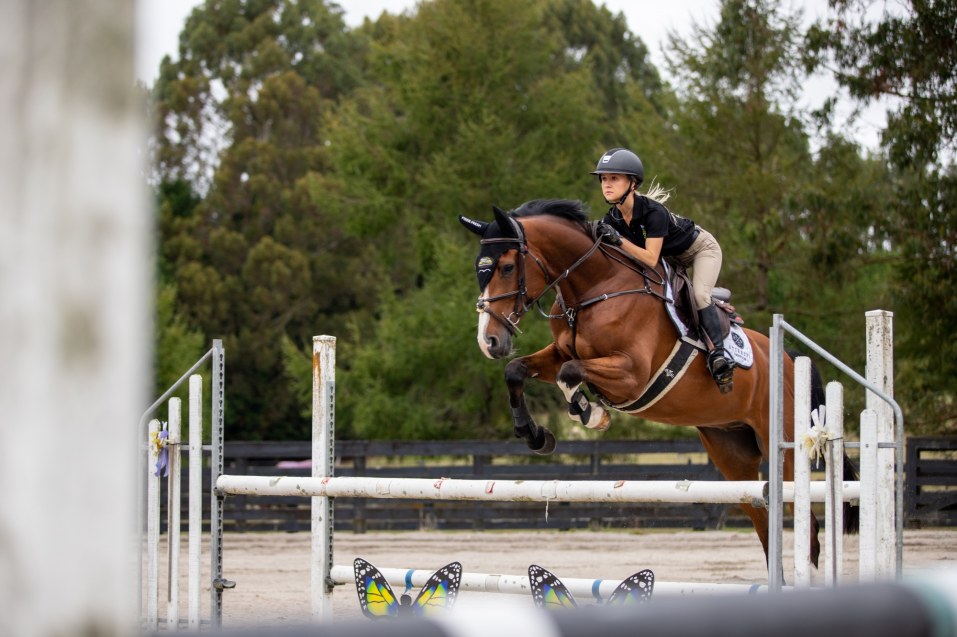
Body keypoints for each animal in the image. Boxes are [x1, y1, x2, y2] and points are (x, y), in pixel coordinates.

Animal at [458, 199, 860, 568]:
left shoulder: (632, 374)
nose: (488, 341)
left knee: (807, 529)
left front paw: (592, 415)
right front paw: (536, 435)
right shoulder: (559, 352)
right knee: (764, 524)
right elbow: (518, 370)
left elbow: (570, 373)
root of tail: (789, 358)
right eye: (480, 270)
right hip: (732, 453)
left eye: (507, 267)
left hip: (785, 445)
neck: (595, 286)